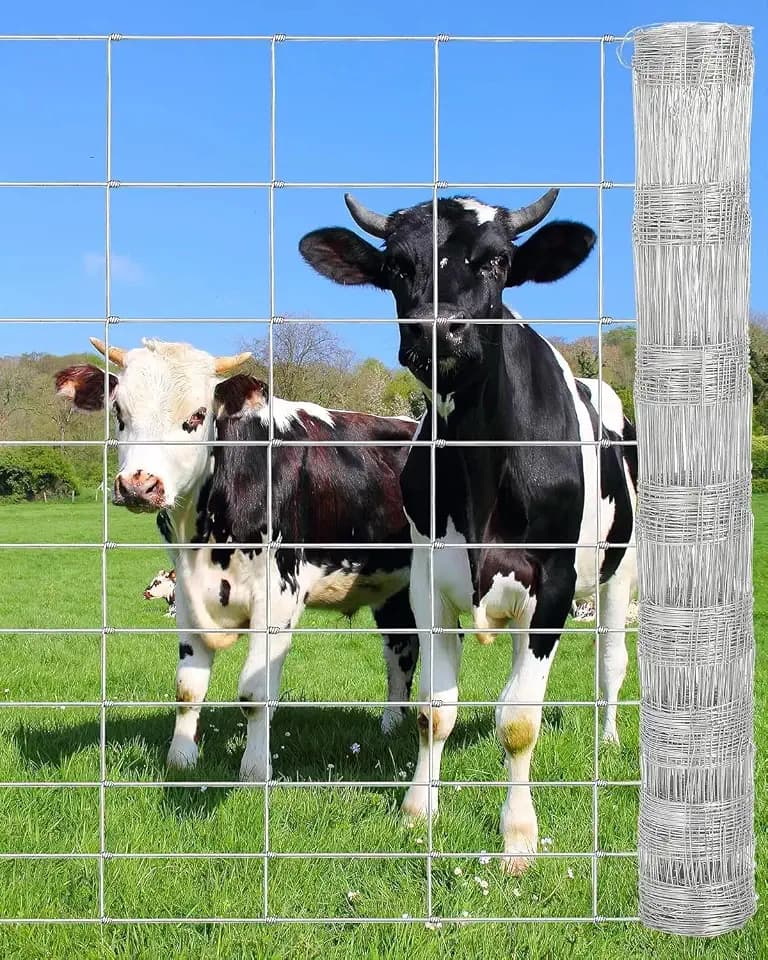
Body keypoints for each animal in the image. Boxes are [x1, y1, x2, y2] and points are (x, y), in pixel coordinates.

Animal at [54, 340, 420, 780]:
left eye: (198, 415)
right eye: (119, 413)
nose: (139, 485)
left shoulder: (279, 595)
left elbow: (254, 692)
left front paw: (255, 769)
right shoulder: (186, 595)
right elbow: (187, 688)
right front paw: (181, 759)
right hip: (395, 589)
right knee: (401, 652)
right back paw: (391, 727)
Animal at [299, 189, 637, 873]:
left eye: (498, 260)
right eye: (396, 266)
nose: (438, 329)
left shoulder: (554, 585)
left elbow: (520, 722)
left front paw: (518, 837)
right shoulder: (428, 581)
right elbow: (434, 710)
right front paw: (417, 810)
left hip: (623, 567)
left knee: (611, 662)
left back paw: (610, 737)